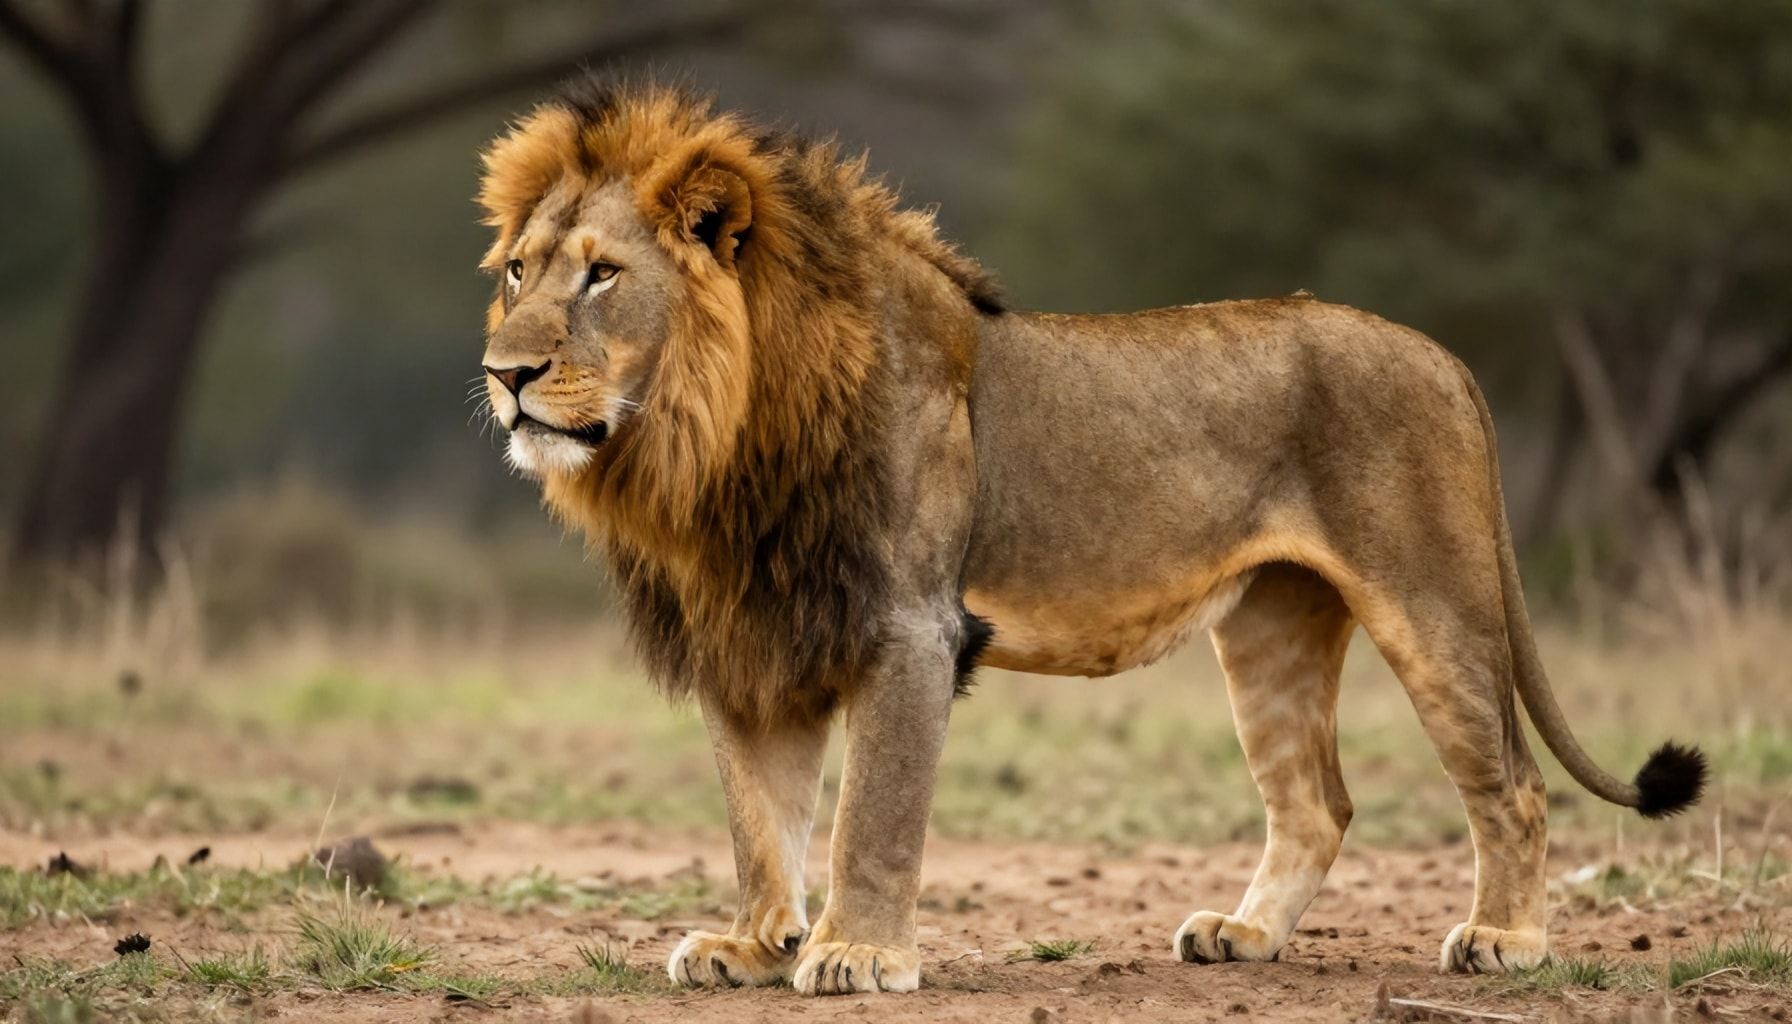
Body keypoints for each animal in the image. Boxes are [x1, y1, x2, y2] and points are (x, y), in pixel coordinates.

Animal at [474, 79, 1706, 995]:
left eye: (603, 274)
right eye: (519, 271)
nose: (504, 373)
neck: (713, 445)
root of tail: (1444, 355)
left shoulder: (910, 629)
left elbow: (871, 814)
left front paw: (856, 952)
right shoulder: (750, 633)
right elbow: (757, 815)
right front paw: (752, 943)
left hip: (1433, 603)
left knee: (1513, 781)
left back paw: (1507, 940)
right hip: (1271, 627)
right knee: (1316, 801)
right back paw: (1244, 936)